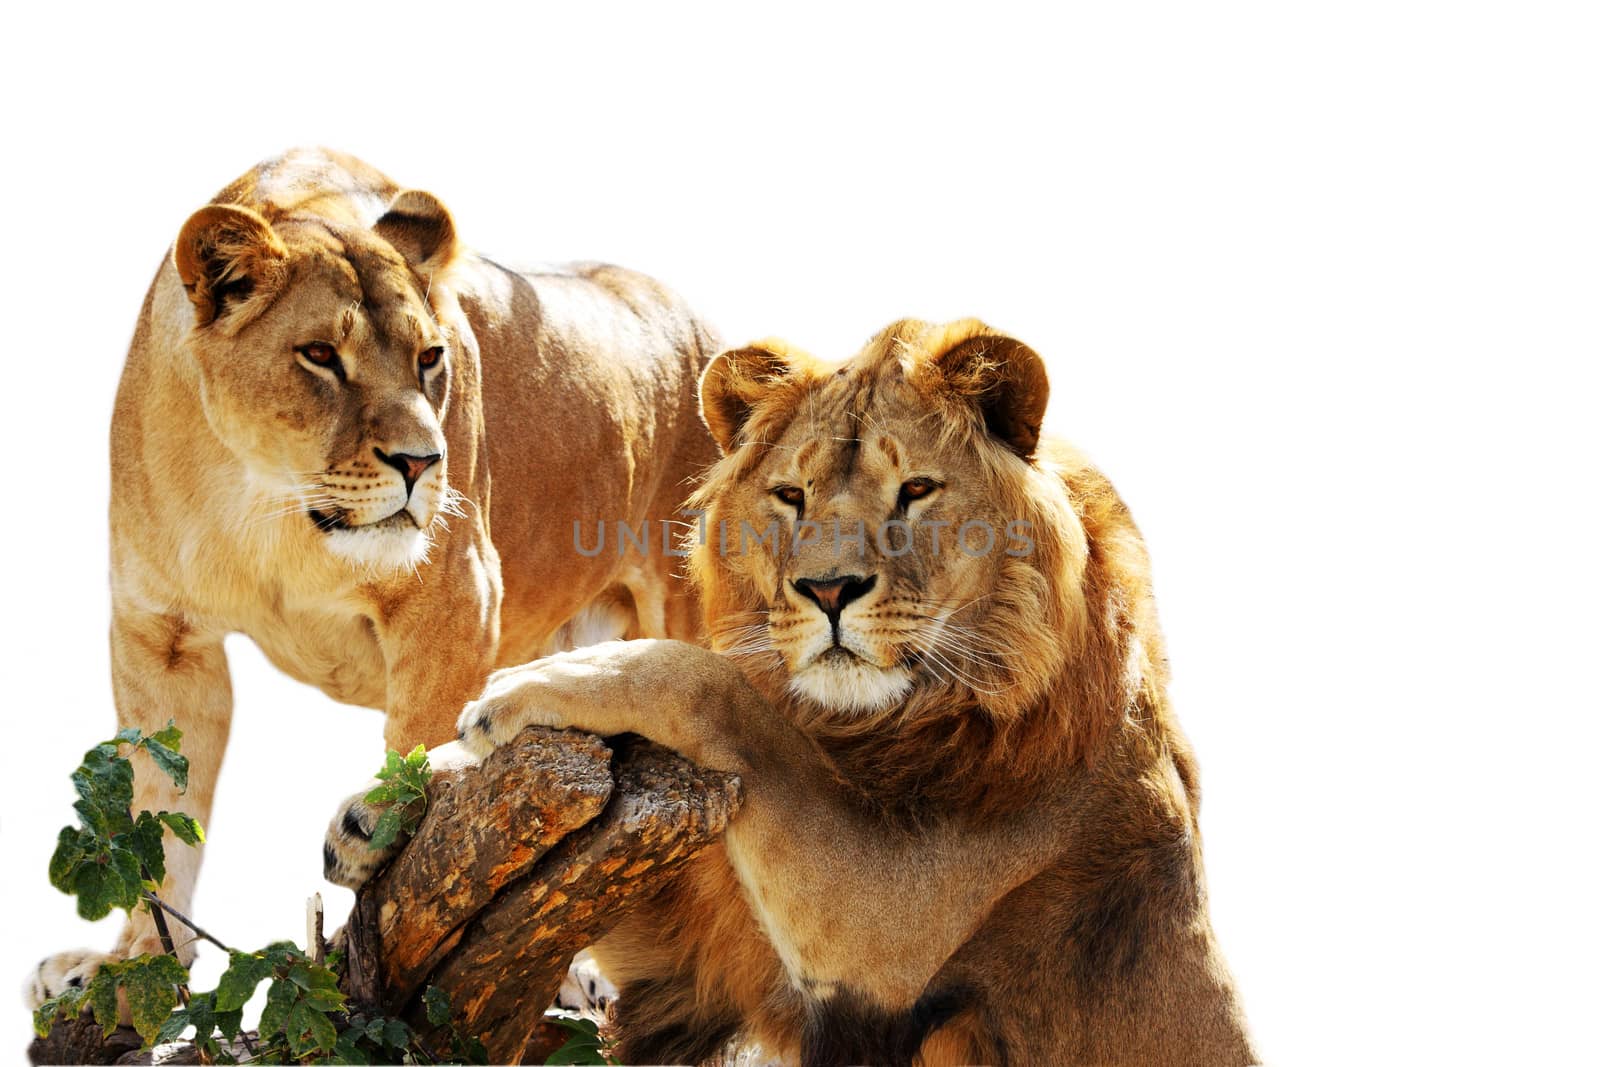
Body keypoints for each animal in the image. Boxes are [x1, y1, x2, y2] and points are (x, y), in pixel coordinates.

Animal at [28, 150, 720, 1011]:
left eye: (430, 358)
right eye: (321, 355)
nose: (422, 462)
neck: (266, 502)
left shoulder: (456, 596)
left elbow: (417, 741)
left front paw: (371, 846)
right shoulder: (162, 635)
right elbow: (161, 812)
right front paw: (133, 966)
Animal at [324, 319, 1254, 1067]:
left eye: (916, 489)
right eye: (791, 495)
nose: (829, 589)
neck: (871, 721)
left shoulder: (892, 923)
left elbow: (724, 687)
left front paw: (535, 684)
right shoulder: (698, 958)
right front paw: (385, 807)